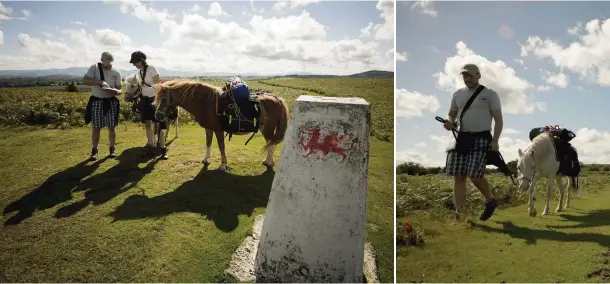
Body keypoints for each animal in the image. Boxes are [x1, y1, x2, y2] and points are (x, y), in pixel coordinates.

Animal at [151, 79, 286, 171]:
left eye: (164, 99)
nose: (157, 116)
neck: (205, 102)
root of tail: (277, 99)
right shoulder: (209, 129)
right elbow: (208, 143)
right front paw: (206, 159)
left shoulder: (218, 130)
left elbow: (221, 147)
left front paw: (223, 164)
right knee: (271, 144)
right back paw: (269, 161)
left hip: (267, 129)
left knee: (271, 144)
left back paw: (269, 162)